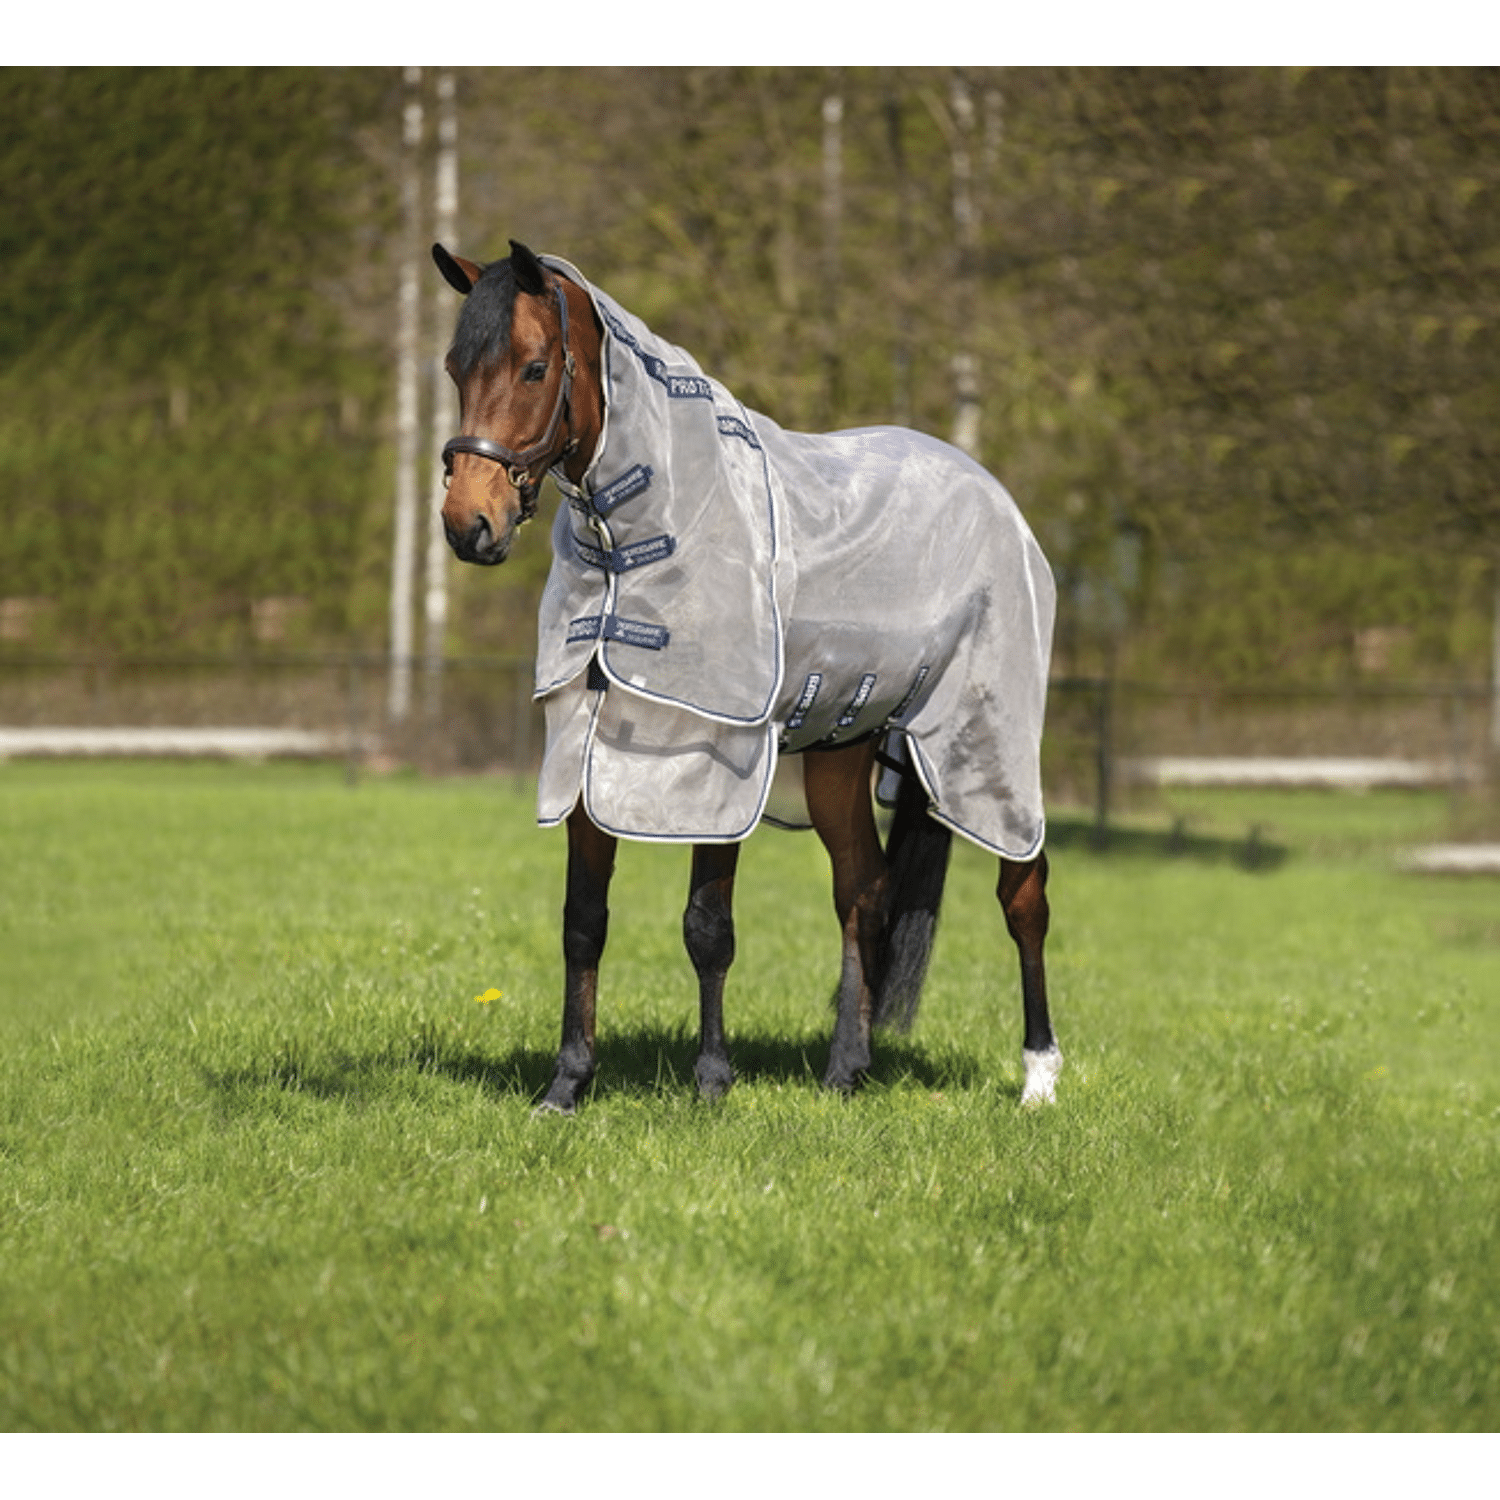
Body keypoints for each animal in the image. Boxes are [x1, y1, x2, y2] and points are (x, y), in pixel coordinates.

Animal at [433, 239, 1062, 1114]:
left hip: (987, 744)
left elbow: (707, 926)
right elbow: (583, 919)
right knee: (863, 891)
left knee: (1023, 896)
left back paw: (1039, 1077)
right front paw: (567, 1083)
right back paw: (847, 1068)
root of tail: (994, 494)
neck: (645, 534)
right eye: (456, 367)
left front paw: (711, 1082)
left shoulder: (716, 753)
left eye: (532, 368)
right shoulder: (588, 754)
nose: (470, 525)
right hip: (840, 754)